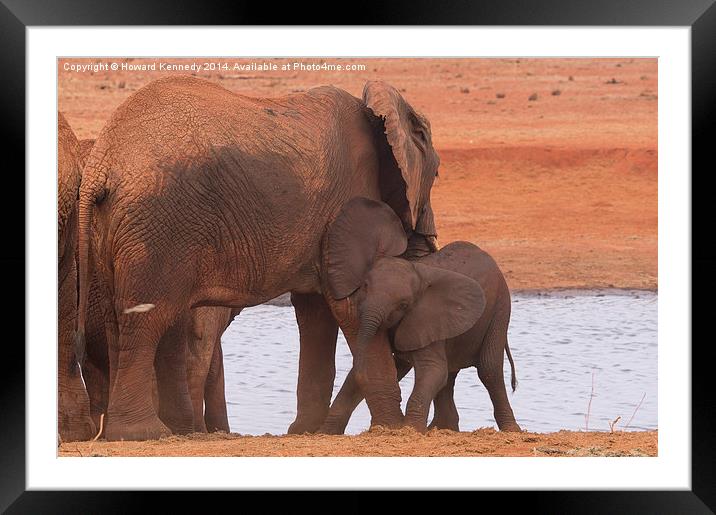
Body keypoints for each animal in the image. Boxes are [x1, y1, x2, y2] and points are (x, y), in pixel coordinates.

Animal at [75, 76, 440, 444]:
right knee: (147, 320)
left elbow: (316, 312)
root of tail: (100, 167)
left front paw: (306, 432)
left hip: (113, 230)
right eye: (436, 174)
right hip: (158, 225)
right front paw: (391, 429)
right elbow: (349, 305)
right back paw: (145, 434)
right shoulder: (350, 199)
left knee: (118, 321)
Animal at [318, 198, 520, 436]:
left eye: (403, 305)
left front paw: (409, 430)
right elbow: (396, 365)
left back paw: (512, 430)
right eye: (365, 286)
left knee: (489, 369)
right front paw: (323, 432)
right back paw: (442, 429)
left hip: (500, 307)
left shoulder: (426, 317)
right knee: (449, 374)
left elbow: (433, 369)